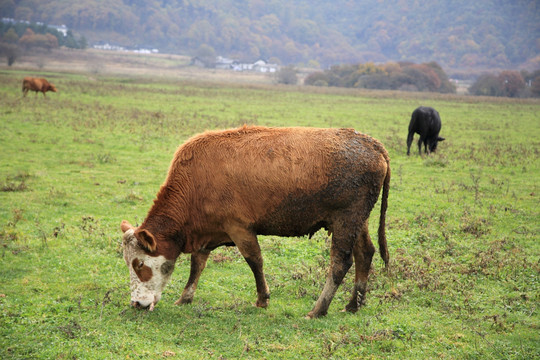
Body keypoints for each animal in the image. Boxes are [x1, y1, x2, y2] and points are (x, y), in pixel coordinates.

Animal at [120, 126, 390, 318]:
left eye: (139, 264)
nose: (137, 303)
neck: (197, 182)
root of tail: (372, 144)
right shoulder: (206, 232)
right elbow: (197, 265)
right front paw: (185, 298)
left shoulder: (240, 229)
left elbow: (255, 262)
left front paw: (262, 299)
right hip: (357, 222)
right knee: (365, 253)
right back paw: (353, 304)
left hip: (346, 220)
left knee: (340, 263)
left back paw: (318, 310)